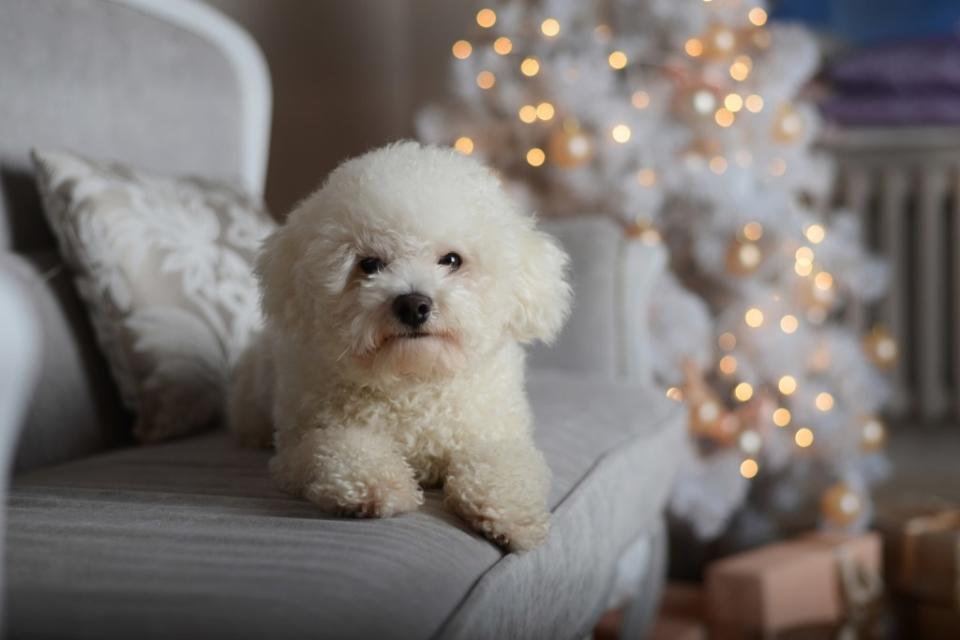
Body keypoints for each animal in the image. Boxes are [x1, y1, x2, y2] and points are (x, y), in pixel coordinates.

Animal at [228, 141, 568, 552]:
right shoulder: (300, 447)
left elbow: (505, 464)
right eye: (369, 264)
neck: (413, 382)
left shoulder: (495, 433)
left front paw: (511, 513)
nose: (413, 305)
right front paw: (374, 485)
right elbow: (339, 446)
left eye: (451, 260)